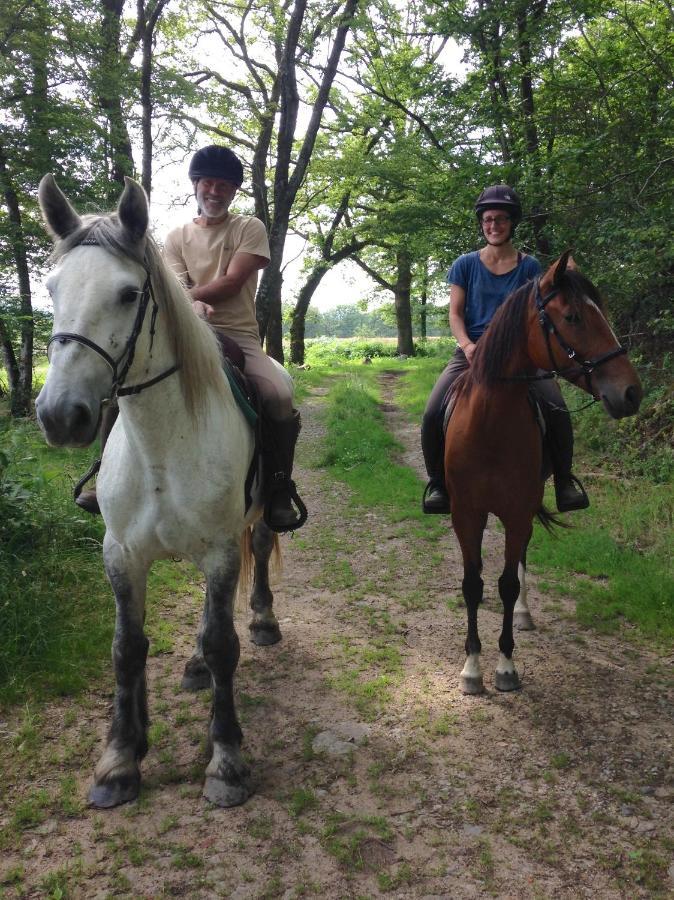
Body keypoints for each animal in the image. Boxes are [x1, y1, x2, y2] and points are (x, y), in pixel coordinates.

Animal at [446, 253, 640, 696]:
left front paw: (505, 666)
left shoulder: (518, 512)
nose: (631, 393)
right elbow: (471, 584)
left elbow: (508, 582)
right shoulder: (466, 514)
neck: (490, 423)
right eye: (572, 317)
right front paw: (471, 668)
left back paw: (522, 613)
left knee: (520, 563)